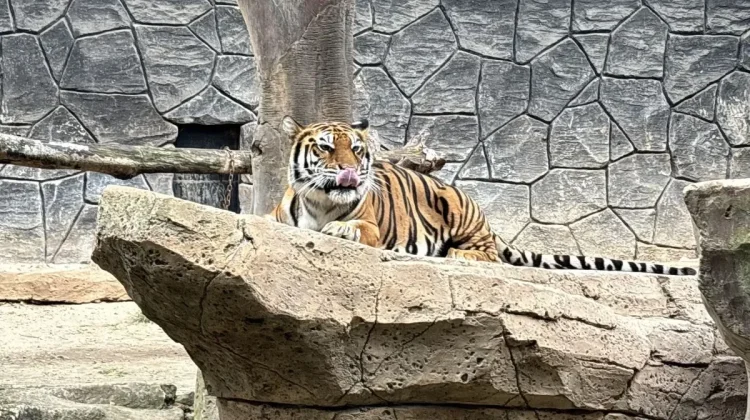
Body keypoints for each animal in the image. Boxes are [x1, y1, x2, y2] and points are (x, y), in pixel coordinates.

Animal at [268, 116, 697, 276]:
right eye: (325, 147)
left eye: (356, 149)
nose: (350, 170)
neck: (322, 202)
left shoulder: (370, 225)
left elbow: (355, 228)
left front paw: (340, 231)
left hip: (458, 208)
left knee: (488, 254)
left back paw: (455, 254)